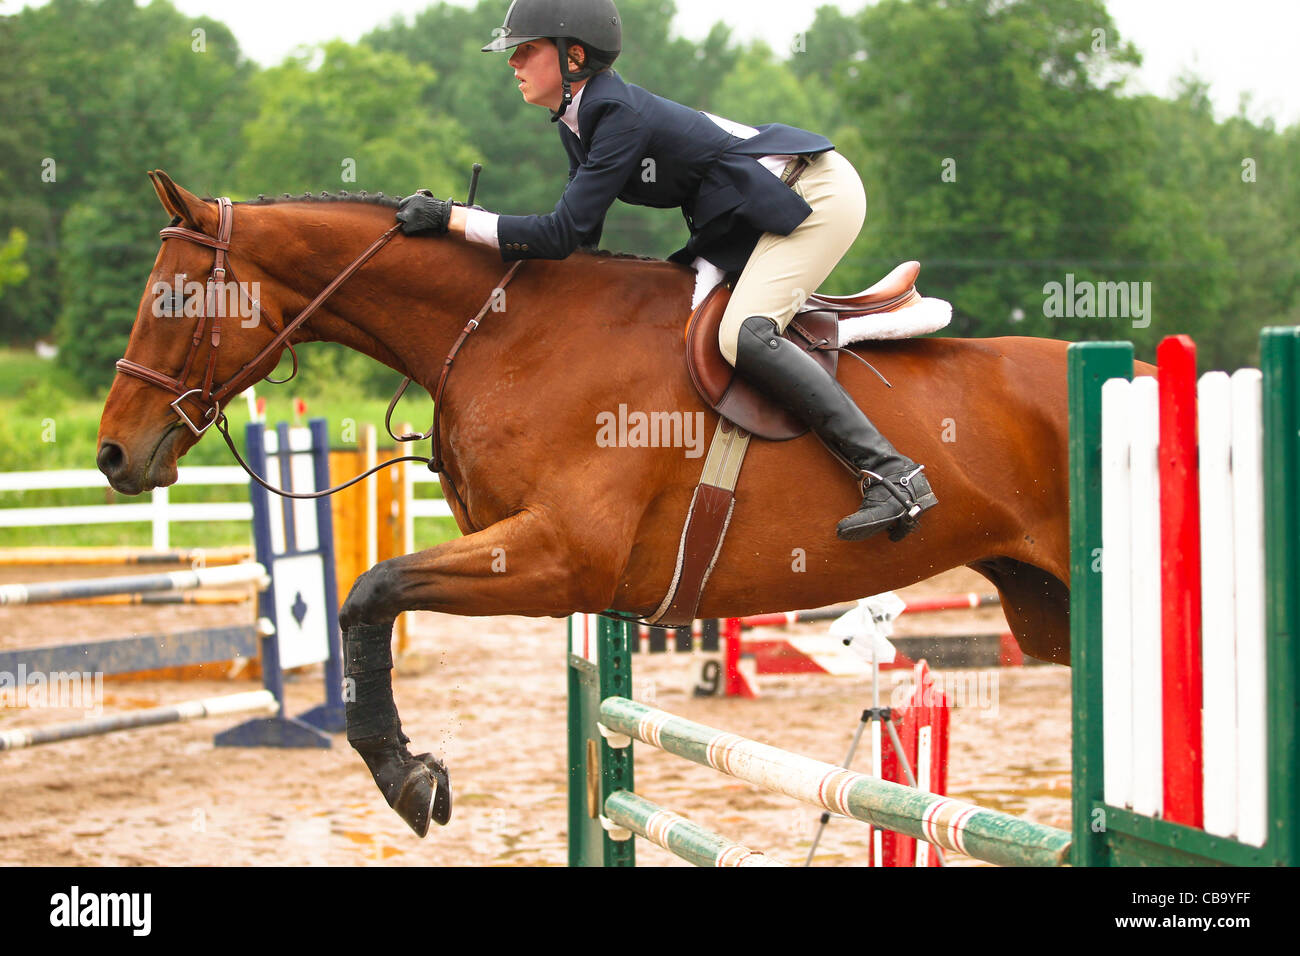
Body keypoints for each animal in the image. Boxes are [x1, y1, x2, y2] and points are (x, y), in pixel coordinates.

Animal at [98, 171, 1076, 837]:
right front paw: (407, 770)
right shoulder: (537, 557)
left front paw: (403, 775)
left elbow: (368, 592)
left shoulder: (557, 557)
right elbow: (371, 596)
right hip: (1045, 612)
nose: (113, 453)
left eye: (173, 296)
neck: (503, 332)